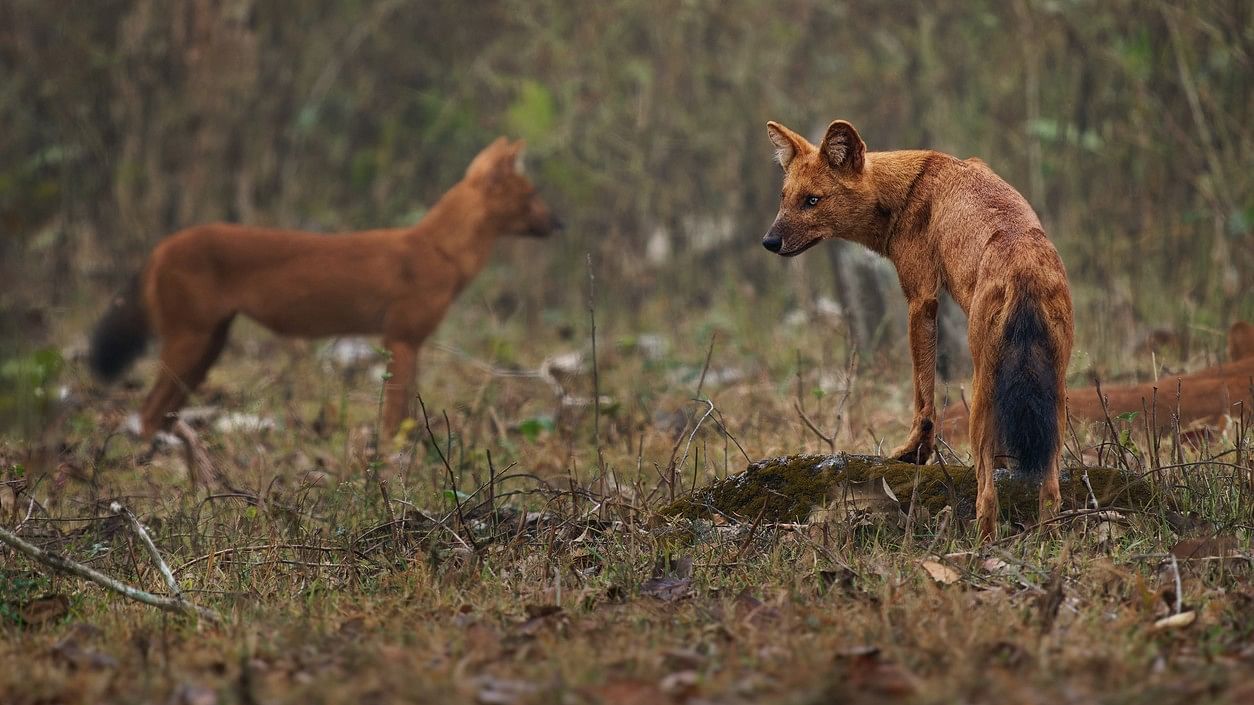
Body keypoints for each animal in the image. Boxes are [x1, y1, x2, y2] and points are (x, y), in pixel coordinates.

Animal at [88, 134, 559, 436]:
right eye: (531, 195)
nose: (560, 222)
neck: (440, 250)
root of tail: (160, 246)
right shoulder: (401, 338)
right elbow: (394, 417)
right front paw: (394, 462)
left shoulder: (407, 343)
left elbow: (406, 411)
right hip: (190, 339)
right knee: (148, 413)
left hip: (209, 344)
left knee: (162, 412)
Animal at [762, 117, 1078, 534]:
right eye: (785, 197)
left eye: (812, 200)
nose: (768, 241)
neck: (904, 190)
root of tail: (1025, 265)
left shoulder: (921, 298)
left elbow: (923, 394)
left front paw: (913, 452)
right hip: (1055, 391)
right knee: (1051, 489)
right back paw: (1047, 537)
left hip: (983, 387)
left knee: (987, 493)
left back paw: (983, 540)